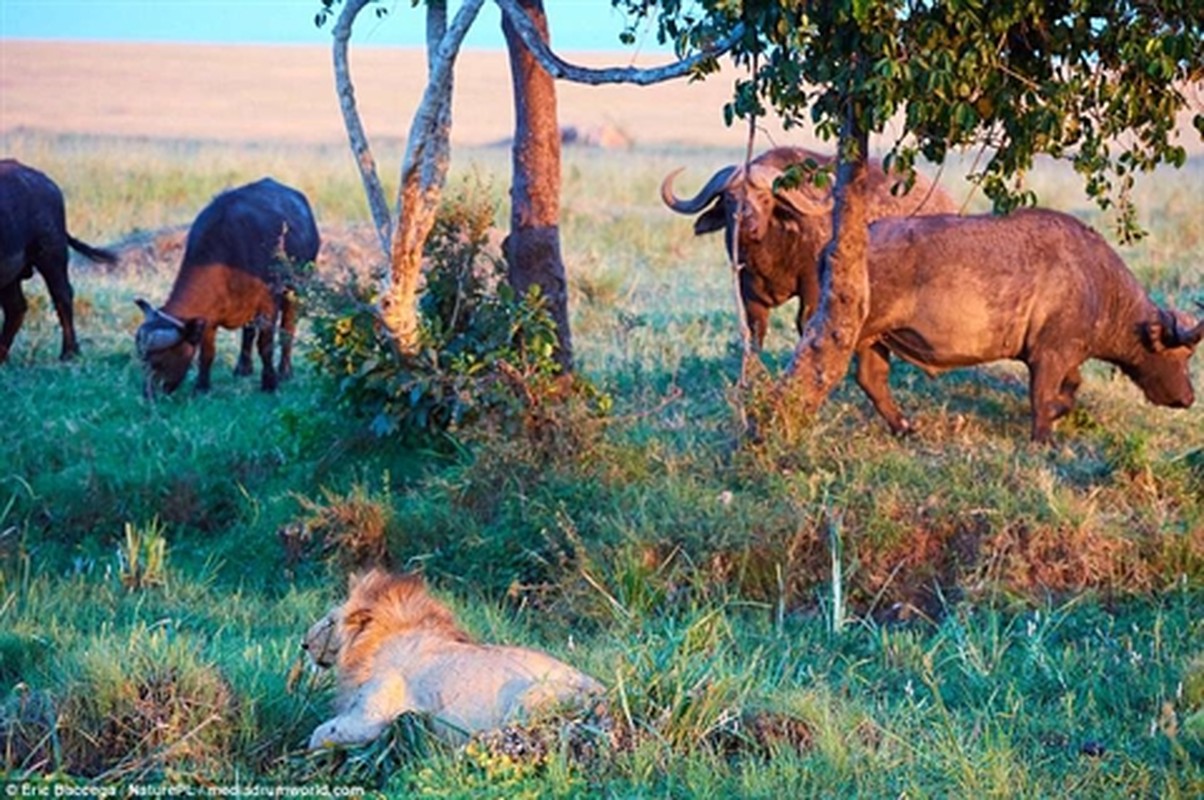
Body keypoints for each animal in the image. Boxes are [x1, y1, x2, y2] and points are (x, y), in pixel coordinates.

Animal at [0, 159, 117, 361]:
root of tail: (49, 183)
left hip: (52, 256)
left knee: (63, 295)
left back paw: (69, 353)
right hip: (11, 276)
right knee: (15, 308)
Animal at [135, 178, 320, 397]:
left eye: (159, 361)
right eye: (142, 360)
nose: (148, 395)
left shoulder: (269, 302)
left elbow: (265, 345)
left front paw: (270, 383)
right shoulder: (208, 317)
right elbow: (207, 352)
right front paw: (202, 386)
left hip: (296, 290)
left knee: (287, 329)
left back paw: (285, 371)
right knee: (249, 332)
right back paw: (243, 367)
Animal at [301, 568, 602, 751]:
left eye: (330, 622)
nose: (303, 644)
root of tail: (601, 690)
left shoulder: (369, 718)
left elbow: (318, 734)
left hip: (529, 699)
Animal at [659, 146, 958, 346]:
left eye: (766, 199)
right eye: (731, 198)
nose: (747, 226)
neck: (770, 255)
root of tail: (945, 199)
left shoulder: (813, 288)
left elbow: (806, 325)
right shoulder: (749, 292)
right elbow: (755, 333)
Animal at [847, 209, 1204, 440]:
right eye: (1181, 356)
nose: (1188, 399)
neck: (1096, 282)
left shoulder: (1067, 357)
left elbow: (1071, 389)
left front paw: (1058, 412)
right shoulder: (1048, 357)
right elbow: (1042, 397)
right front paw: (1044, 439)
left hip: (876, 340)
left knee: (871, 380)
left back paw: (904, 428)